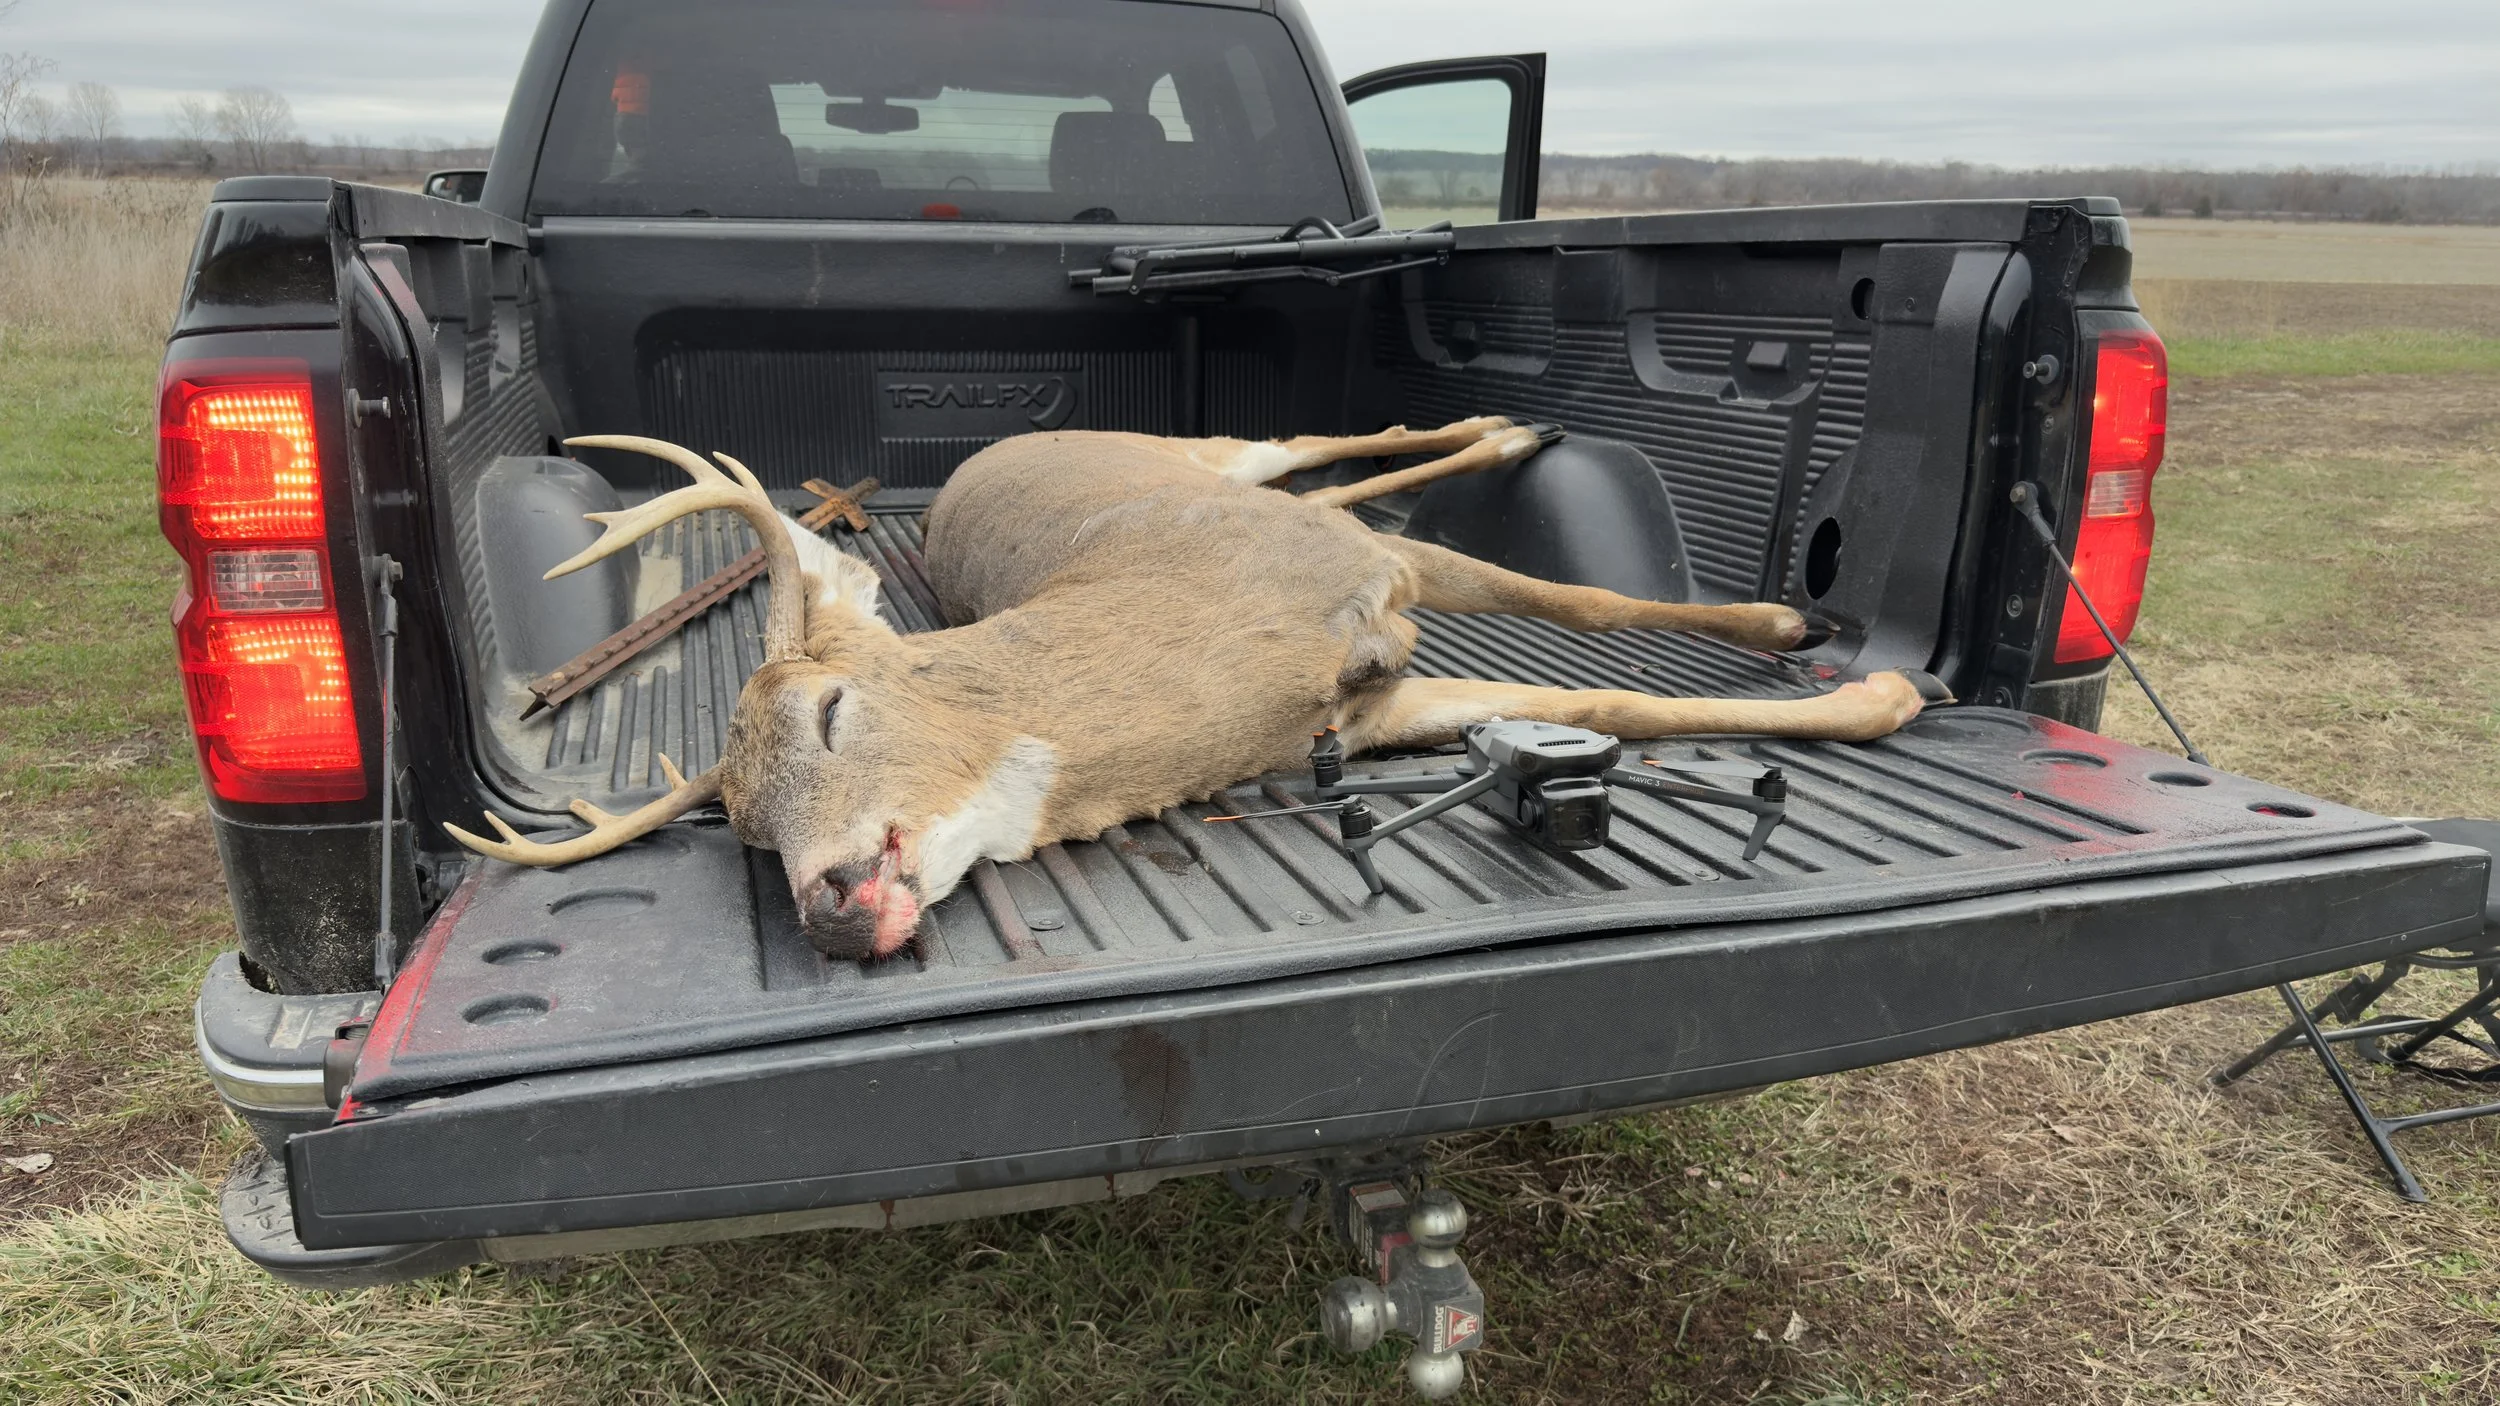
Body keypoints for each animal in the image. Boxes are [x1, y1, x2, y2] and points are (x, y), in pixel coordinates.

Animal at [447, 418, 1938, 961]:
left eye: (831, 711)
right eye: (746, 833)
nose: (829, 905)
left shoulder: (1369, 572)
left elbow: (1593, 612)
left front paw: (1823, 652)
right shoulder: (1359, 711)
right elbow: (1617, 706)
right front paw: (1869, 698)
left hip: (1225, 465)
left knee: (1330, 446)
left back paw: (1508, 423)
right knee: (1328, 458)